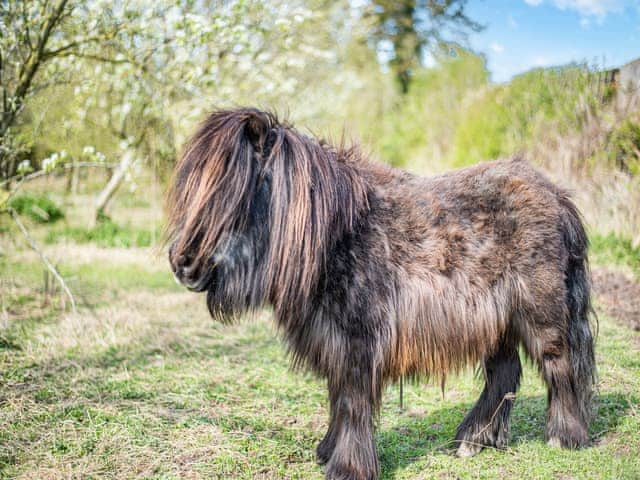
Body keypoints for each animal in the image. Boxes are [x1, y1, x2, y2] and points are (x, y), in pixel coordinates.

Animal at [166, 109, 596, 480]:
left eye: (233, 193)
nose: (183, 264)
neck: (336, 235)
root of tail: (557, 195)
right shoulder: (334, 340)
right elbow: (338, 397)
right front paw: (328, 451)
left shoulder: (360, 343)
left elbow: (353, 400)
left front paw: (347, 468)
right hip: (496, 324)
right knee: (504, 376)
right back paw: (472, 441)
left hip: (540, 315)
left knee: (558, 364)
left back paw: (563, 437)